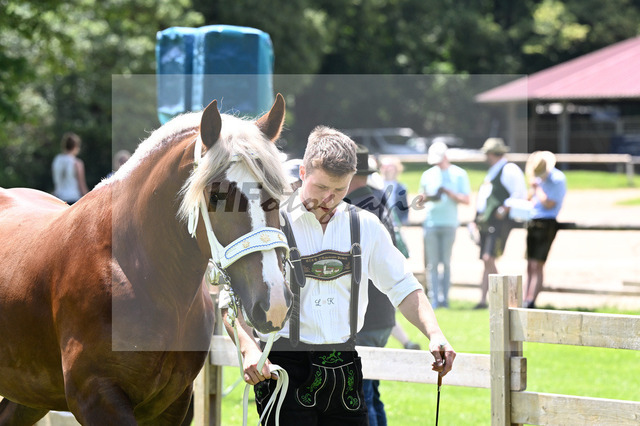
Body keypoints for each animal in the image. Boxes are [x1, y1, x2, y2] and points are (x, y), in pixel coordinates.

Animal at [0, 94, 293, 425]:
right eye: (217, 195)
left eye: (277, 196)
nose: (274, 302)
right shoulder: (96, 397)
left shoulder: (174, 403)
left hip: (28, 395)